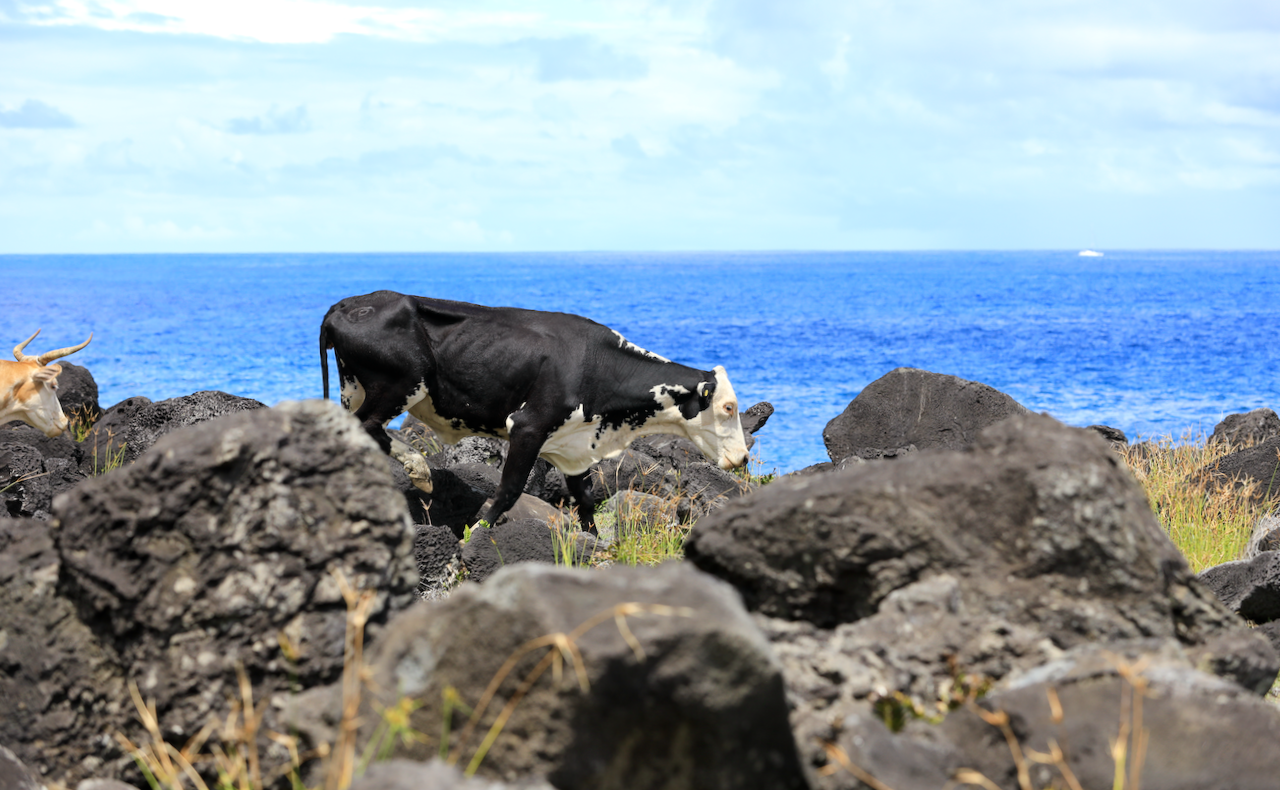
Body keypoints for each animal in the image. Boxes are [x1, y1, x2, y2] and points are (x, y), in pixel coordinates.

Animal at [320, 290, 752, 535]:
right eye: (728, 407)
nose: (743, 458)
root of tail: (347, 303)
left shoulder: (574, 444)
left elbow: (585, 499)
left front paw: (593, 542)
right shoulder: (528, 426)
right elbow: (510, 489)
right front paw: (477, 531)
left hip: (353, 389)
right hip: (403, 381)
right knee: (367, 428)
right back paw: (418, 468)